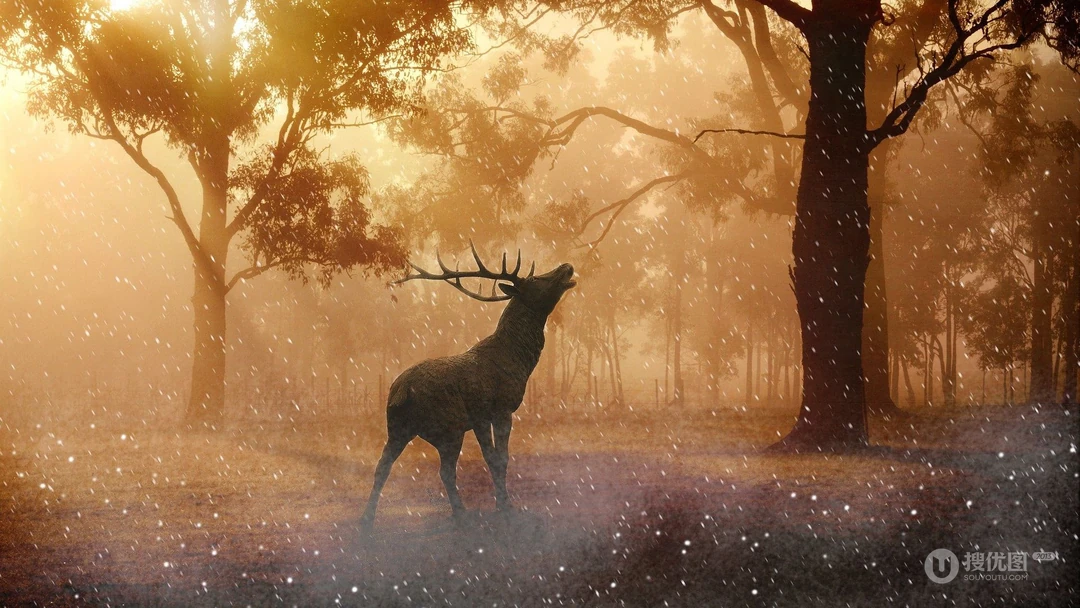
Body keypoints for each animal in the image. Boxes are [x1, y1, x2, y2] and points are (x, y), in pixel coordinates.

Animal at [360, 244, 576, 531]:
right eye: (534, 279)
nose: (567, 266)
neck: (518, 361)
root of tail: (400, 392)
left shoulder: (480, 418)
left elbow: (492, 458)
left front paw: (501, 505)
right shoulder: (498, 408)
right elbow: (500, 458)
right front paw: (506, 508)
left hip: (396, 427)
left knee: (382, 466)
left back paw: (367, 519)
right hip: (448, 427)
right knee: (445, 471)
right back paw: (461, 513)